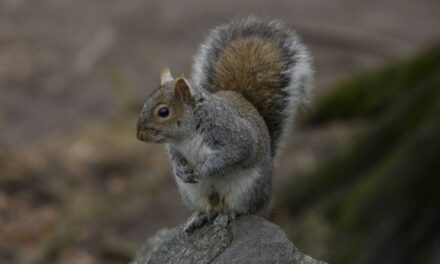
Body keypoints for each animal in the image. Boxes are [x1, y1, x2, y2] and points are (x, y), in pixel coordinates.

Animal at [138, 16, 312, 232]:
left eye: (163, 112)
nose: (139, 135)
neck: (186, 135)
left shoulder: (230, 133)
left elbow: (233, 153)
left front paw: (203, 170)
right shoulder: (174, 145)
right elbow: (174, 155)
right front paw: (180, 169)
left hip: (246, 190)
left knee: (243, 209)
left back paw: (228, 215)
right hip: (192, 193)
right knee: (208, 209)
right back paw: (198, 217)